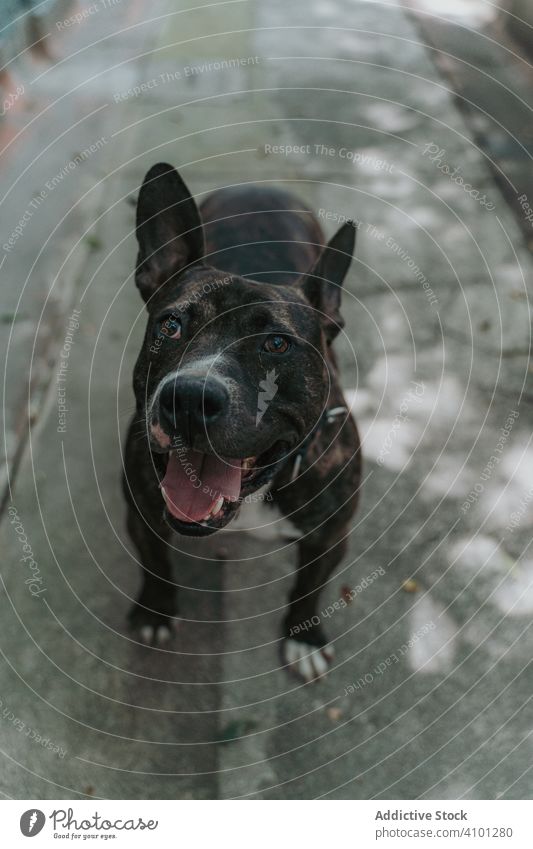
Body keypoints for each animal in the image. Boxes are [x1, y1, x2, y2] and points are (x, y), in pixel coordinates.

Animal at [122, 162, 360, 684]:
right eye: (170, 326)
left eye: (276, 344)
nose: (189, 397)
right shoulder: (142, 511)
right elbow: (154, 563)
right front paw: (156, 610)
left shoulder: (330, 537)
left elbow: (309, 587)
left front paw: (304, 637)